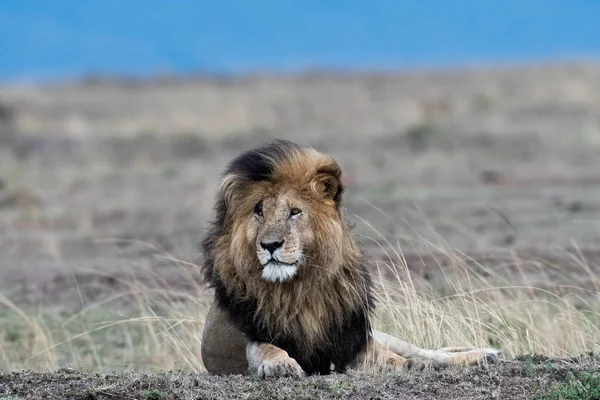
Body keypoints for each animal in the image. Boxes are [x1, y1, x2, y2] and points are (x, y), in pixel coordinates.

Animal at [199, 140, 500, 378]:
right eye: (259, 211)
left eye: (294, 212)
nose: (270, 244)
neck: (299, 287)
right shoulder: (247, 336)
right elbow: (264, 348)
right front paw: (280, 365)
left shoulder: (352, 342)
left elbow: (394, 358)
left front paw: (403, 364)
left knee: (425, 352)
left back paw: (482, 354)